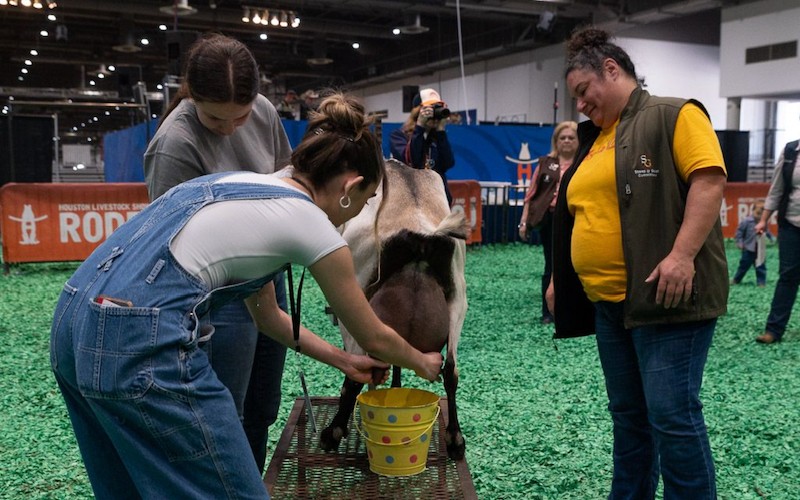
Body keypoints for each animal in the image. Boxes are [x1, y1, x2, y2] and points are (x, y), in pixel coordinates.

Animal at [318, 159, 468, 460]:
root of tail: (422, 235)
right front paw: (395, 387)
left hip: (356, 303)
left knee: (355, 373)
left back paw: (333, 432)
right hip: (458, 301)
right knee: (452, 371)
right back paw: (455, 439)